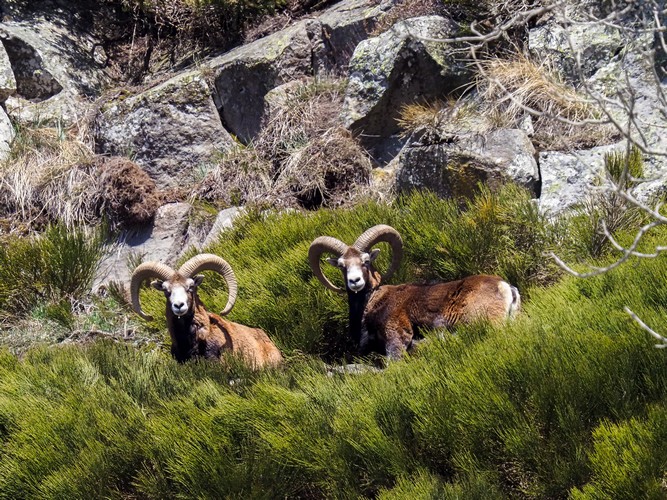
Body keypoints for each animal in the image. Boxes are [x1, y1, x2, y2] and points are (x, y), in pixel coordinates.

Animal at [309, 225, 521, 359]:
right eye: (342, 266)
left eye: (366, 261)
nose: (355, 281)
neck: (370, 305)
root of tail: (505, 287)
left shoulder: (396, 337)